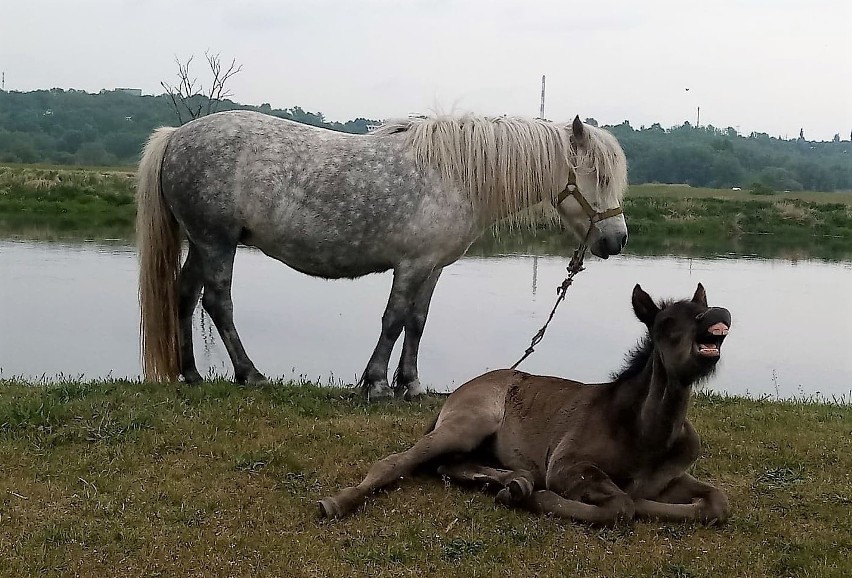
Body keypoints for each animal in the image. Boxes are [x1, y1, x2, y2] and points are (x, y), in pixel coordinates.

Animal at [136, 108, 628, 396]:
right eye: (599, 176)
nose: (617, 241)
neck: (457, 175)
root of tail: (175, 135)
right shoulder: (410, 266)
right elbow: (393, 320)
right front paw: (374, 384)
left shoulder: (432, 267)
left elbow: (417, 322)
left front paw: (410, 384)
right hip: (216, 242)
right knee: (217, 302)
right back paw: (249, 374)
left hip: (202, 243)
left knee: (184, 295)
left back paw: (192, 374)